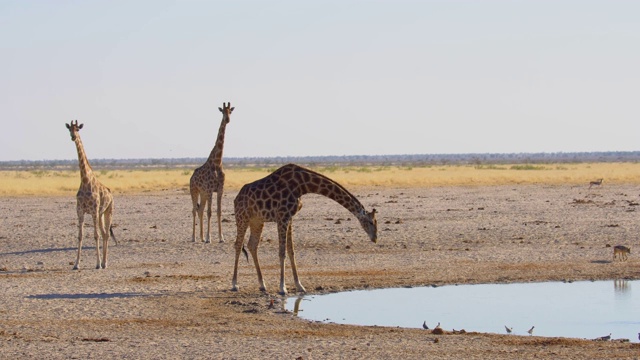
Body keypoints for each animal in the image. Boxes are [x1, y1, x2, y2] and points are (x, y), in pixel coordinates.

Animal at [65, 121, 116, 270]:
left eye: (77, 129)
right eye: (69, 129)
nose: (73, 137)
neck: (85, 180)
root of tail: (110, 193)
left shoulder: (93, 210)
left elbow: (95, 235)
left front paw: (97, 264)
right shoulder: (80, 211)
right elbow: (80, 236)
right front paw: (76, 264)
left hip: (108, 211)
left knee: (106, 234)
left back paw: (104, 263)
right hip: (100, 214)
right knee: (104, 233)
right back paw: (104, 262)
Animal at [189, 101, 234, 243]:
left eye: (230, 111)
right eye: (222, 111)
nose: (227, 119)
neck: (217, 162)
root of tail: (191, 177)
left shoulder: (219, 189)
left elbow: (218, 211)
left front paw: (221, 238)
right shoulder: (209, 190)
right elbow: (210, 212)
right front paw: (210, 238)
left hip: (203, 194)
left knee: (200, 210)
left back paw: (201, 237)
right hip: (194, 190)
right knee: (194, 210)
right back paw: (194, 237)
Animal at [231, 163, 378, 296]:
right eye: (371, 222)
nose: (375, 238)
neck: (302, 185)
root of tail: (236, 198)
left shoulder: (289, 218)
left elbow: (291, 251)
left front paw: (299, 285)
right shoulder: (282, 216)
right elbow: (282, 252)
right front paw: (282, 288)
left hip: (257, 220)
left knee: (252, 245)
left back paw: (262, 285)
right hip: (242, 217)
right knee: (238, 245)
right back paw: (235, 284)